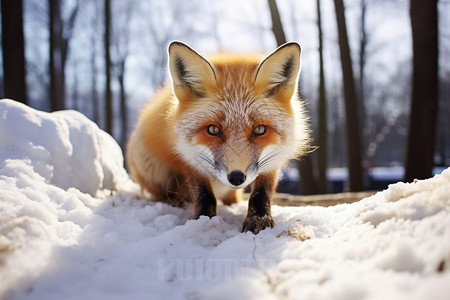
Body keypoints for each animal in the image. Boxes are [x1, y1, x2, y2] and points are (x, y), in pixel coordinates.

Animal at [126, 41, 310, 234]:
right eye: (213, 129)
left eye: (260, 130)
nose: (236, 178)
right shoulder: (189, 155)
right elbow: (204, 195)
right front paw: (203, 221)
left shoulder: (274, 157)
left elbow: (262, 193)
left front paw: (259, 219)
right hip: (151, 167)